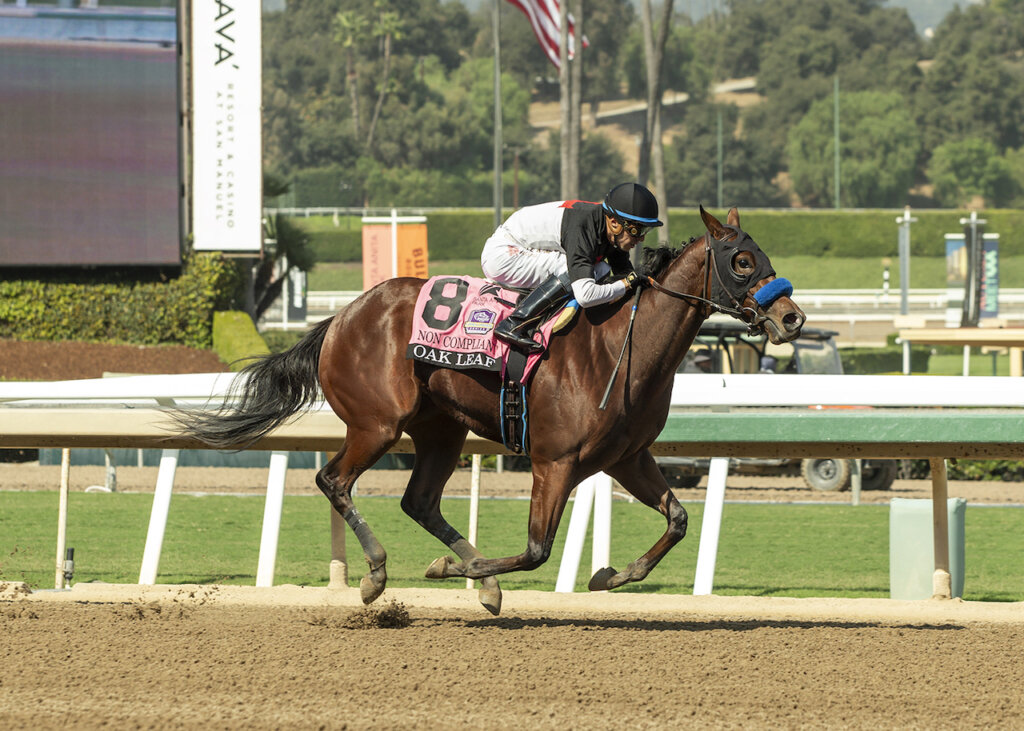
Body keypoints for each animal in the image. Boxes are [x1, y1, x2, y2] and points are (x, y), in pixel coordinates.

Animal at [174, 207, 798, 610]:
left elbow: (678, 519)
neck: (619, 345)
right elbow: (536, 550)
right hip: (378, 424)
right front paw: (461, 570)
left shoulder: (627, 457)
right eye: (741, 260)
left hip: (440, 431)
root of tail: (341, 317)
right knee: (335, 481)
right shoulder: (554, 462)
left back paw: (472, 580)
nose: (792, 317)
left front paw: (608, 575)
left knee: (419, 501)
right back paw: (378, 572)